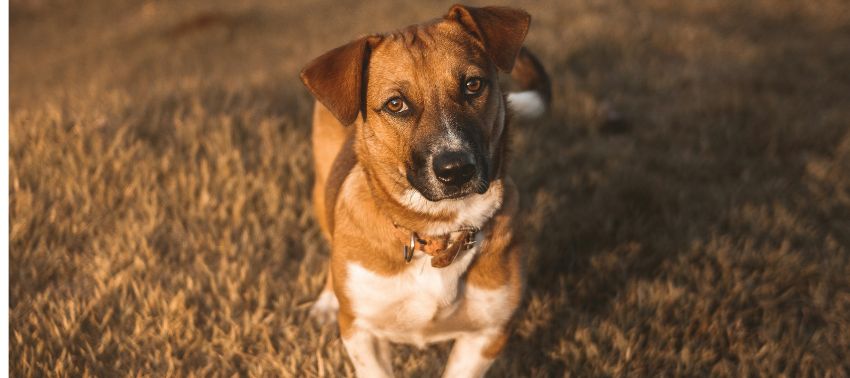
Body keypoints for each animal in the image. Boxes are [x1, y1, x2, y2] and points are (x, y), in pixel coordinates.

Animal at [298, 3, 548, 378]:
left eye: (473, 85)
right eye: (395, 104)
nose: (456, 169)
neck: (438, 232)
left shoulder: (488, 333)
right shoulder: (361, 330)